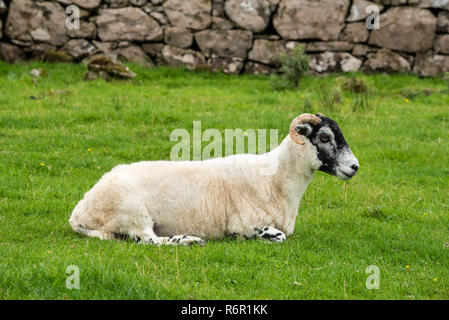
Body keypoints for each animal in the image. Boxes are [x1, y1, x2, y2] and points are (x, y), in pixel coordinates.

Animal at [68, 114, 358, 246]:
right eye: (324, 137)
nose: (355, 166)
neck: (276, 178)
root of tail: (79, 212)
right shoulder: (245, 223)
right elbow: (277, 236)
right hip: (132, 212)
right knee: (150, 240)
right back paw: (187, 240)